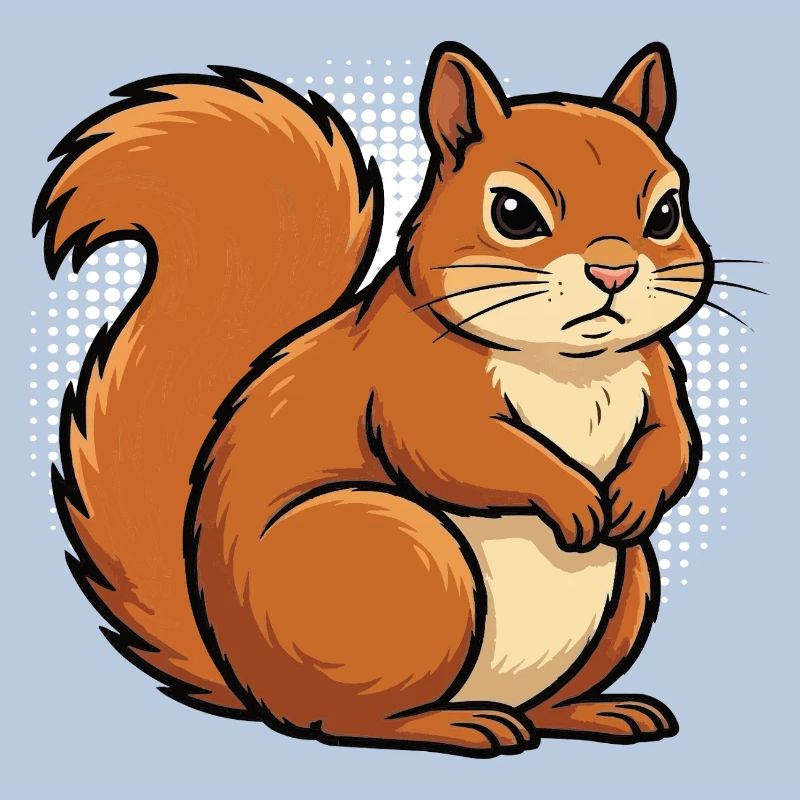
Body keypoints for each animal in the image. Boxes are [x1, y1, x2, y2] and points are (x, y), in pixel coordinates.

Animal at [35, 41, 709, 757]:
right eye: (513, 213)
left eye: (667, 212)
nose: (614, 272)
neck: (569, 365)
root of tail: (251, 686)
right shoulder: (413, 378)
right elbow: (457, 447)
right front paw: (573, 497)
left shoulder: (659, 371)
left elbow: (675, 440)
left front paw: (634, 495)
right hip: (404, 557)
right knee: (344, 721)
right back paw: (457, 724)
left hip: (631, 582)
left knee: (548, 693)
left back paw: (596, 711)